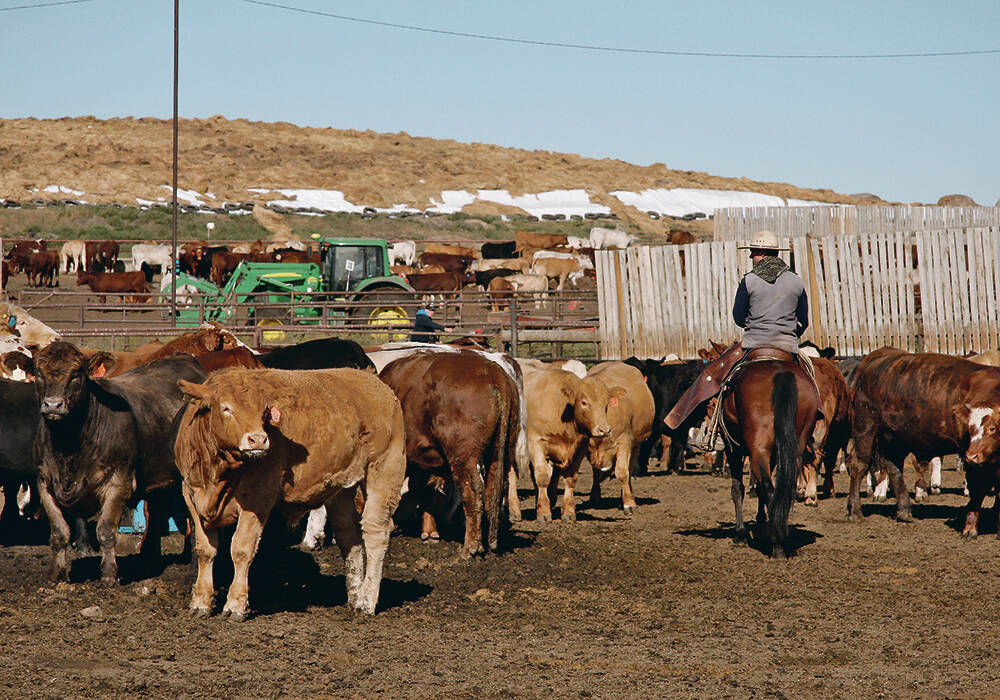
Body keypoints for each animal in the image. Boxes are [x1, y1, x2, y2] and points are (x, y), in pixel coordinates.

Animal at [720, 348, 820, 558]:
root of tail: (781, 373)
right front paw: (760, 521)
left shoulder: (733, 449)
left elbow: (737, 489)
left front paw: (740, 534)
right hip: (794, 445)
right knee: (783, 486)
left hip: (757, 447)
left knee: (767, 486)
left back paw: (777, 543)